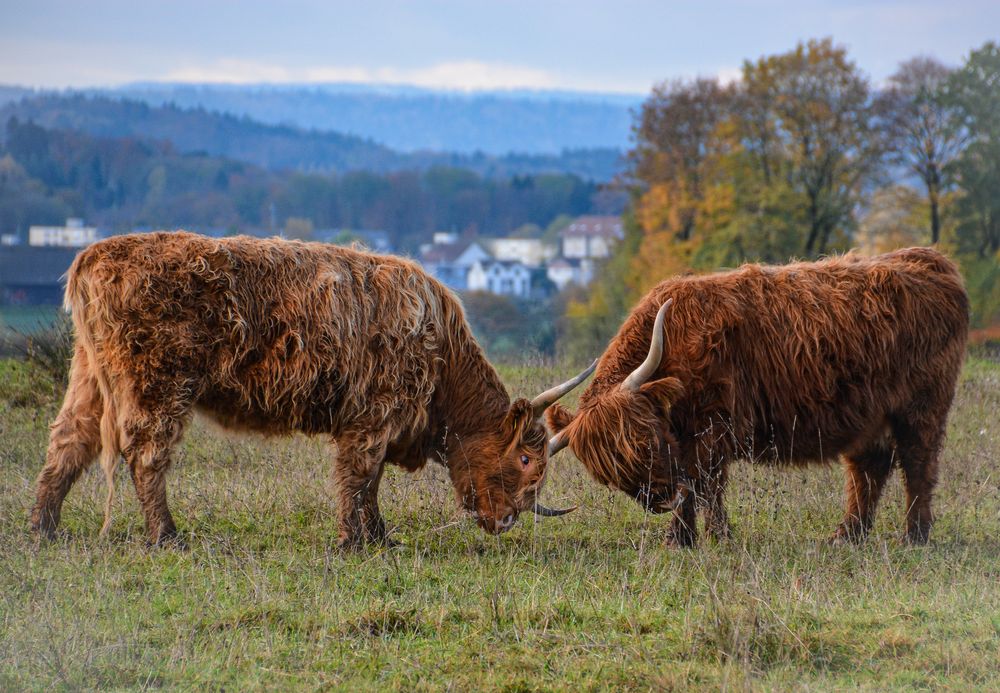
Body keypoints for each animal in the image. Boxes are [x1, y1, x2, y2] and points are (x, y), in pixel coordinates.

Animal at [31, 231, 592, 548]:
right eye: (525, 459)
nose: (507, 521)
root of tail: (95, 253)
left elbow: (371, 483)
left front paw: (380, 539)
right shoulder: (374, 414)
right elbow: (359, 477)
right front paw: (353, 542)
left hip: (89, 376)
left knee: (68, 441)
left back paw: (43, 529)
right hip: (158, 382)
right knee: (146, 454)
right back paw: (167, 537)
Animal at [548, 249, 968, 548]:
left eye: (645, 441)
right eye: (611, 474)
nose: (661, 499)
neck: (670, 345)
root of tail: (930, 260)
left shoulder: (712, 427)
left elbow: (705, 484)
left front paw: (709, 536)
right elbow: (695, 485)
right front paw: (684, 538)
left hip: (921, 408)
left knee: (918, 464)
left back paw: (913, 537)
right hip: (869, 415)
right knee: (869, 469)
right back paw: (847, 536)